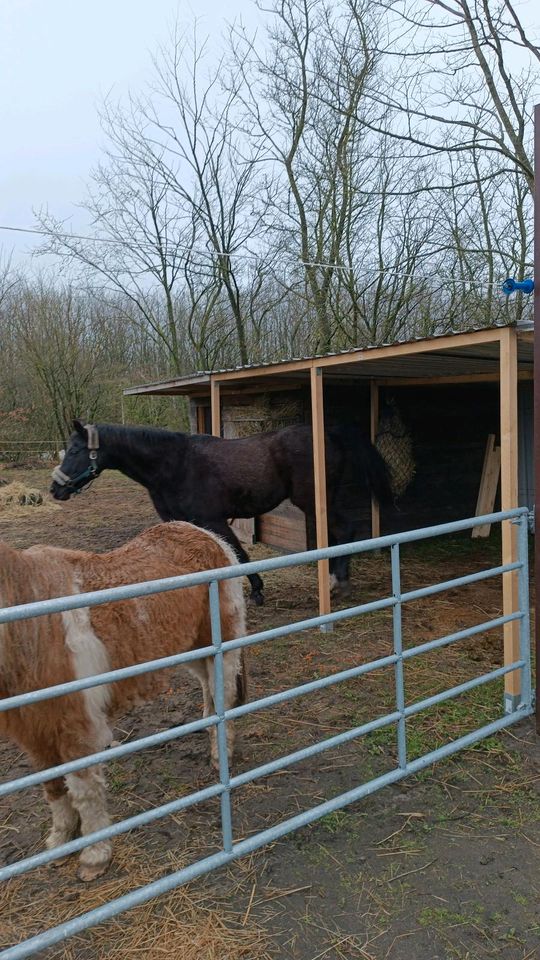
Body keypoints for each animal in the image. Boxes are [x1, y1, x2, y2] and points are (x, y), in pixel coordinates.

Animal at [0, 520, 247, 880]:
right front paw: (59, 843)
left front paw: (94, 856)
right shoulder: (37, 734)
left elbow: (85, 792)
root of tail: (207, 535)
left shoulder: (77, 731)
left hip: (223, 644)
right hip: (192, 646)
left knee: (223, 694)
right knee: (208, 686)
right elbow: (54, 789)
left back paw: (220, 755)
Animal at [51, 418, 392, 604]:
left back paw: (338, 584)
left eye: (76, 450)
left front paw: (257, 591)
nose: (55, 489)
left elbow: (239, 554)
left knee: (344, 530)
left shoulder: (213, 519)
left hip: (314, 501)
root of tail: (330, 433)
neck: (173, 464)